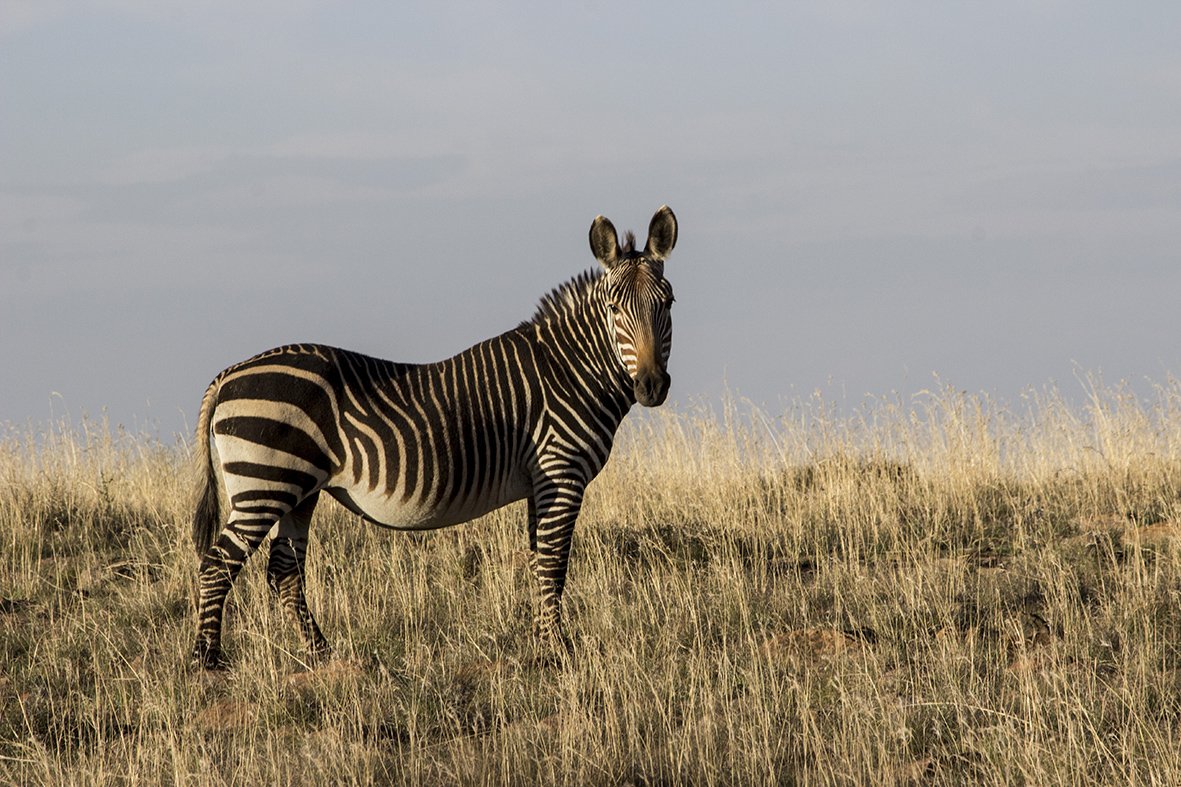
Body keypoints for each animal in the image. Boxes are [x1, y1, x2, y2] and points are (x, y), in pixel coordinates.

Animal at [189, 206, 678, 668]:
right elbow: (554, 564)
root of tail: (230, 373)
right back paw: (207, 660)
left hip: (298, 490)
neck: (569, 371)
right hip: (264, 483)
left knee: (283, 571)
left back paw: (322, 654)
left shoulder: (541, 482)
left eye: (668, 303)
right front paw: (559, 651)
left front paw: (543, 645)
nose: (652, 386)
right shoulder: (560, 473)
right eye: (614, 309)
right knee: (218, 564)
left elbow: (539, 561)